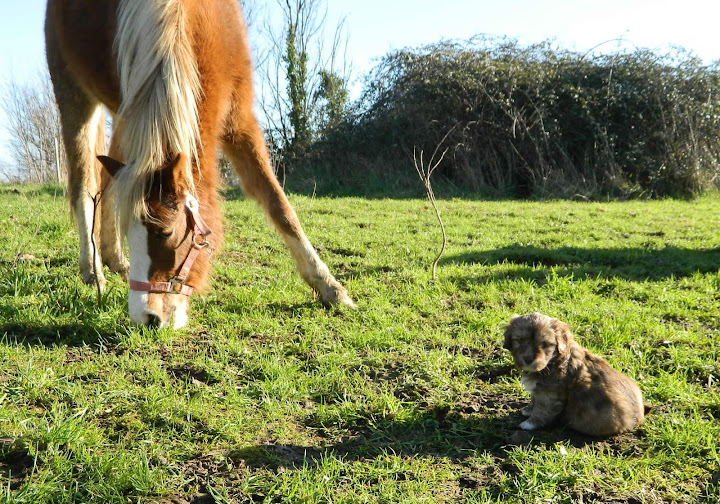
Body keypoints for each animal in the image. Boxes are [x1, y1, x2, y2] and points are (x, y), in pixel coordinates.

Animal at [45, 0, 354, 328]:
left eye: (165, 233)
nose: (146, 318)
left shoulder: (240, 120)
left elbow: (279, 205)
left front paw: (330, 288)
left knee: (109, 183)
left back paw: (114, 258)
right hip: (75, 94)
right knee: (84, 187)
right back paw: (93, 270)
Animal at [504, 314, 648, 436]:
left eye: (544, 344)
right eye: (519, 341)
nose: (528, 359)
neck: (553, 362)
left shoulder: (549, 395)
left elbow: (541, 409)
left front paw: (529, 423)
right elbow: (534, 399)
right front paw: (527, 410)